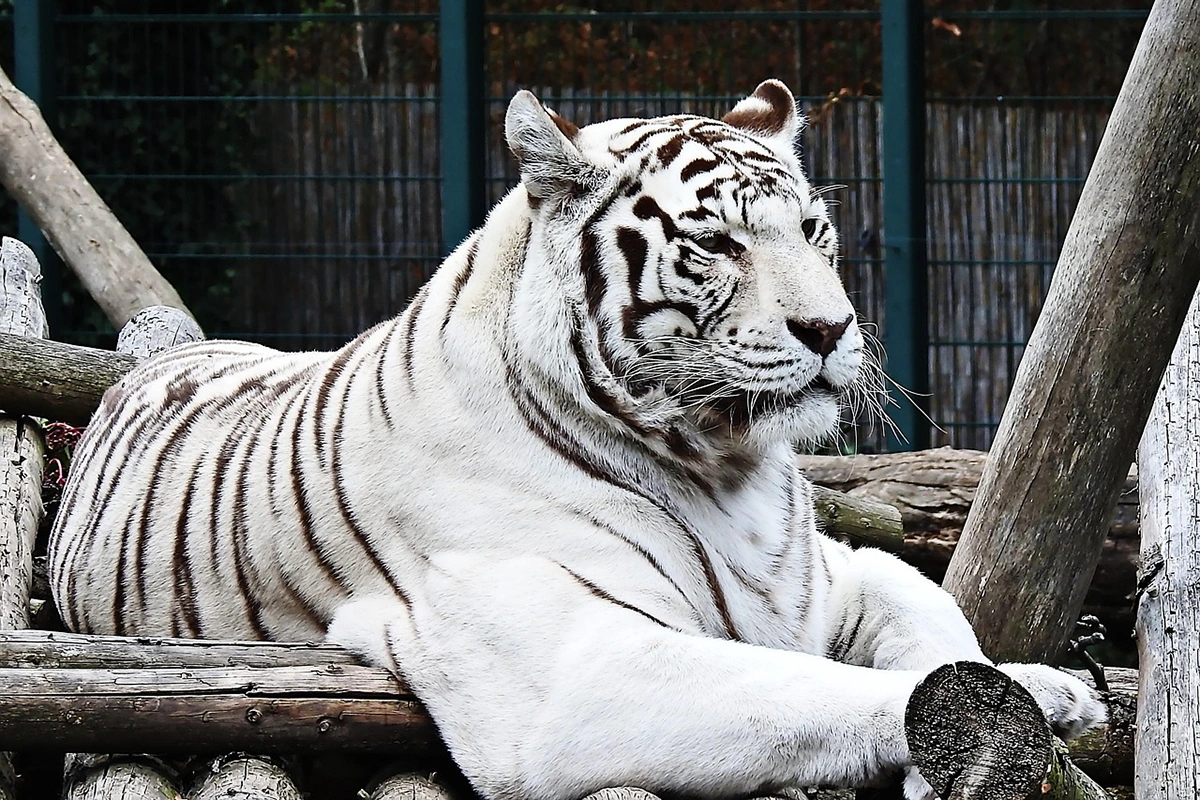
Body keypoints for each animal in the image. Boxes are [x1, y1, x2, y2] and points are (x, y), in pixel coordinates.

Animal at [48, 80, 1103, 800]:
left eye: (812, 229)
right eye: (717, 244)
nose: (831, 327)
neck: (725, 468)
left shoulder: (837, 573)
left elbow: (941, 629)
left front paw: (1043, 699)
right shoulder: (570, 669)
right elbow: (815, 689)